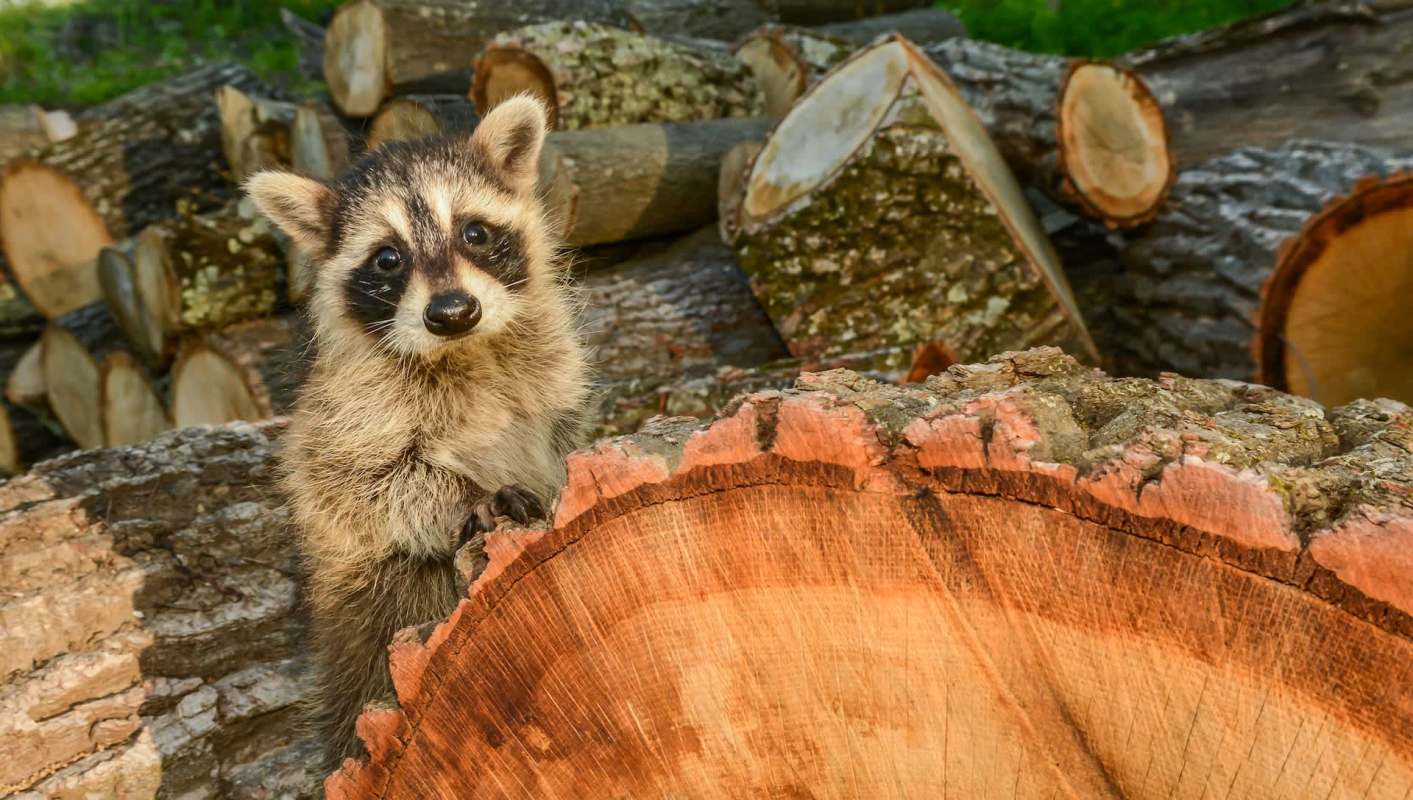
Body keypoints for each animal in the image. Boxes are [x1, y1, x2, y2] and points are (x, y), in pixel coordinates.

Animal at [245, 96, 590, 770]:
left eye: (474, 233)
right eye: (388, 258)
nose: (452, 312)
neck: (465, 352)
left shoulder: (551, 369)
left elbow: (562, 437)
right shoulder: (344, 410)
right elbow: (360, 482)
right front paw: (465, 495)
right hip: (372, 606)